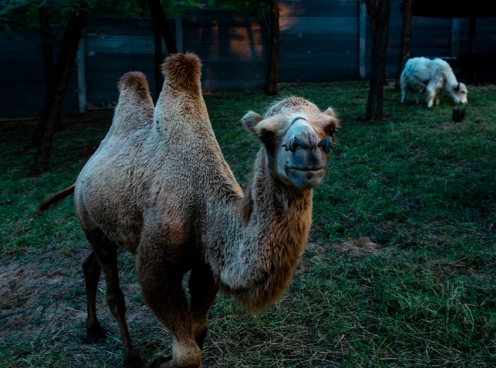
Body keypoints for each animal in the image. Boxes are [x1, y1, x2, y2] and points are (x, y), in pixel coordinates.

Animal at [38, 52, 340, 368]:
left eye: (331, 130)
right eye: (265, 134)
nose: (308, 150)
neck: (205, 209)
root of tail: (83, 171)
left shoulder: (206, 266)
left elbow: (199, 332)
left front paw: (163, 359)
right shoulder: (155, 265)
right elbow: (187, 352)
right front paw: (160, 361)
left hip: (112, 229)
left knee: (90, 265)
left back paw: (93, 330)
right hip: (90, 221)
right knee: (113, 293)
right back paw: (130, 356)